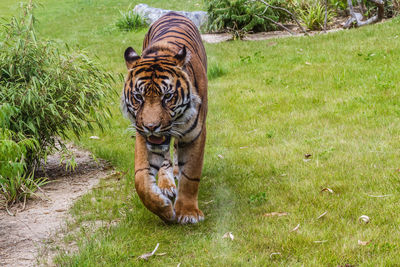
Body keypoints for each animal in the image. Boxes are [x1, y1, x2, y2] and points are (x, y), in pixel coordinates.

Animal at [120, 11, 208, 225]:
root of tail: (171, 12)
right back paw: (167, 185)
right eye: (138, 97)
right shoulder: (142, 135)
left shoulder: (195, 134)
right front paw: (165, 210)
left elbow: (191, 174)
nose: (152, 126)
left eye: (167, 97)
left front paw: (188, 212)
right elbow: (141, 179)